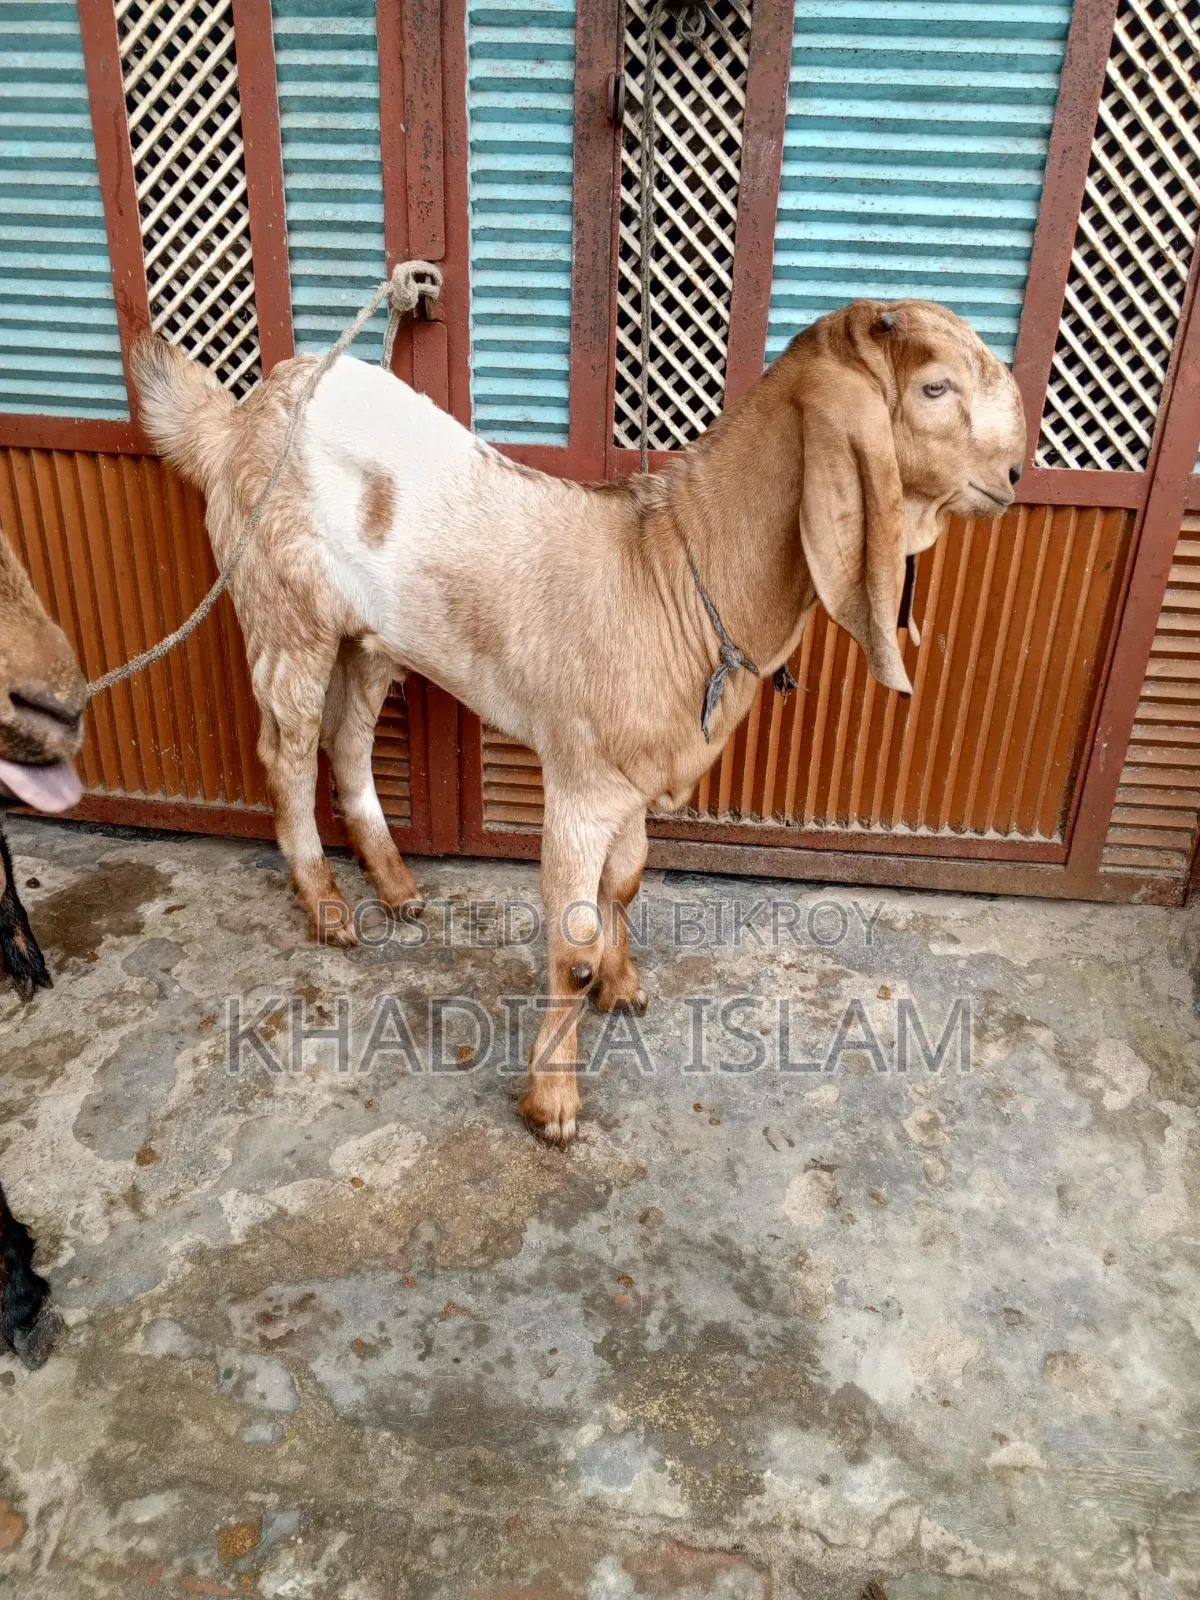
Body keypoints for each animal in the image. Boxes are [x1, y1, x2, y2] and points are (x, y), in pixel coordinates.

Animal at [132, 298, 1026, 1144]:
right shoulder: (580, 785)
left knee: (346, 739)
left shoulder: (632, 782)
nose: (1015, 472)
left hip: (372, 635)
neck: (669, 572)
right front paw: (553, 1104)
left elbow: (625, 881)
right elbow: (573, 948)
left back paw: (395, 885)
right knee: (285, 748)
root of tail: (238, 423)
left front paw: (625, 989)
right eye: (935, 387)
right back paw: (325, 906)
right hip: (283, 606)